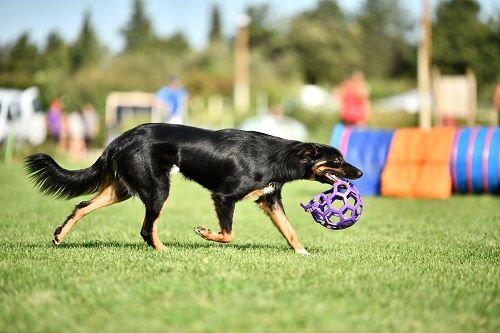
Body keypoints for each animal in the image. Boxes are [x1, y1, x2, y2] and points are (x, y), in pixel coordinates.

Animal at [25, 123, 362, 253]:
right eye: (338, 159)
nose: (359, 172)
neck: (279, 157)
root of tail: (120, 138)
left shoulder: (269, 200)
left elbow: (290, 231)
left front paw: (303, 253)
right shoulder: (224, 196)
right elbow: (228, 234)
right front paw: (205, 233)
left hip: (124, 188)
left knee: (82, 206)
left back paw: (60, 235)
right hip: (158, 189)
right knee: (146, 229)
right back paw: (163, 250)